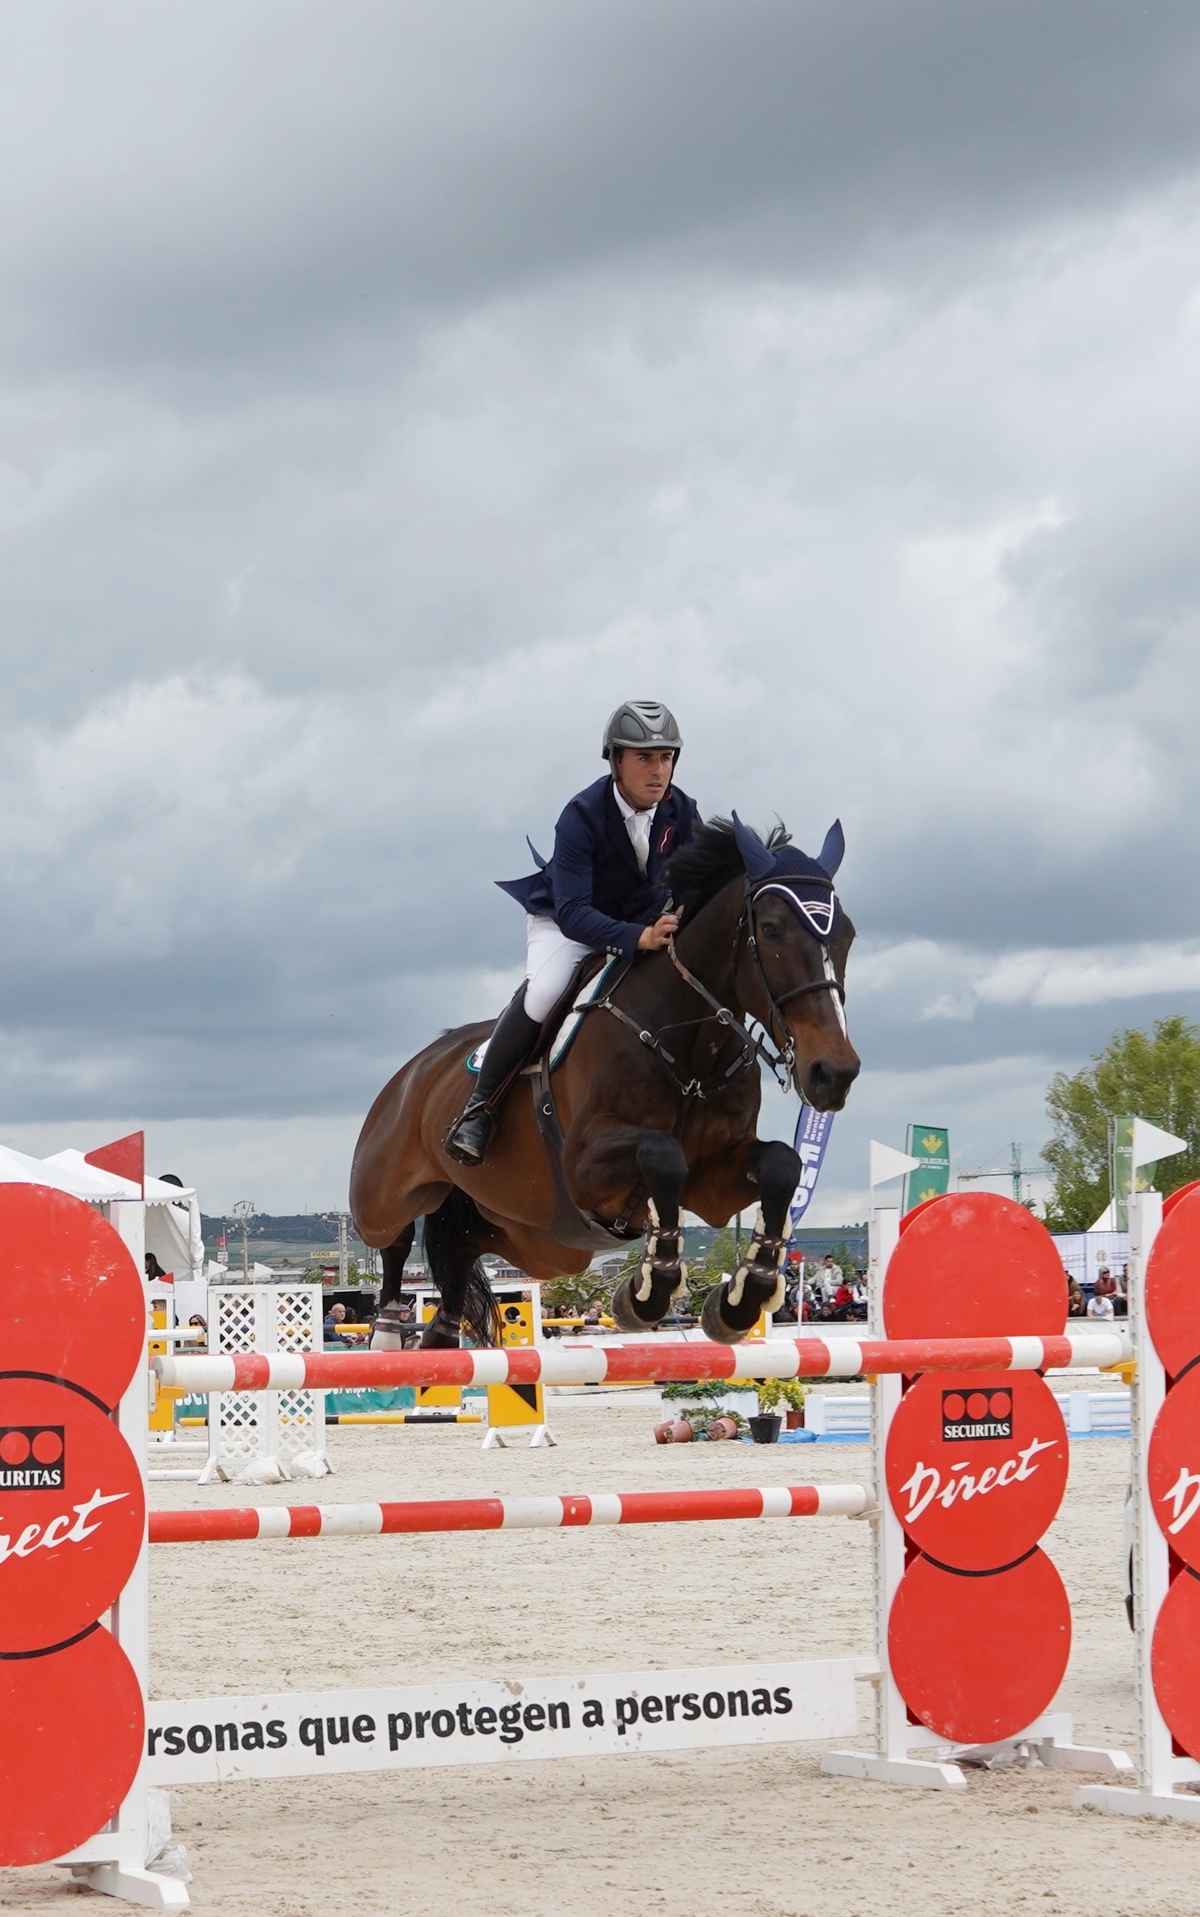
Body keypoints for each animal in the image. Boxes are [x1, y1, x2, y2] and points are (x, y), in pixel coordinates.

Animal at [348, 812, 858, 1349]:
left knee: (457, 1255)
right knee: (393, 1239)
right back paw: (386, 1333)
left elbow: (782, 1164)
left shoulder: (714, 1181)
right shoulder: (583, 1165)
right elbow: (664, 1155)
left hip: (533, 1237)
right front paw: (648, 1290)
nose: (834, 1073)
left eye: (847, 934)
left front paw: (742, 1298)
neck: (689, 1050)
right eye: (772, 929)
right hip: (384, 1192)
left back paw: (437, 1335)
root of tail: (413, 1069)